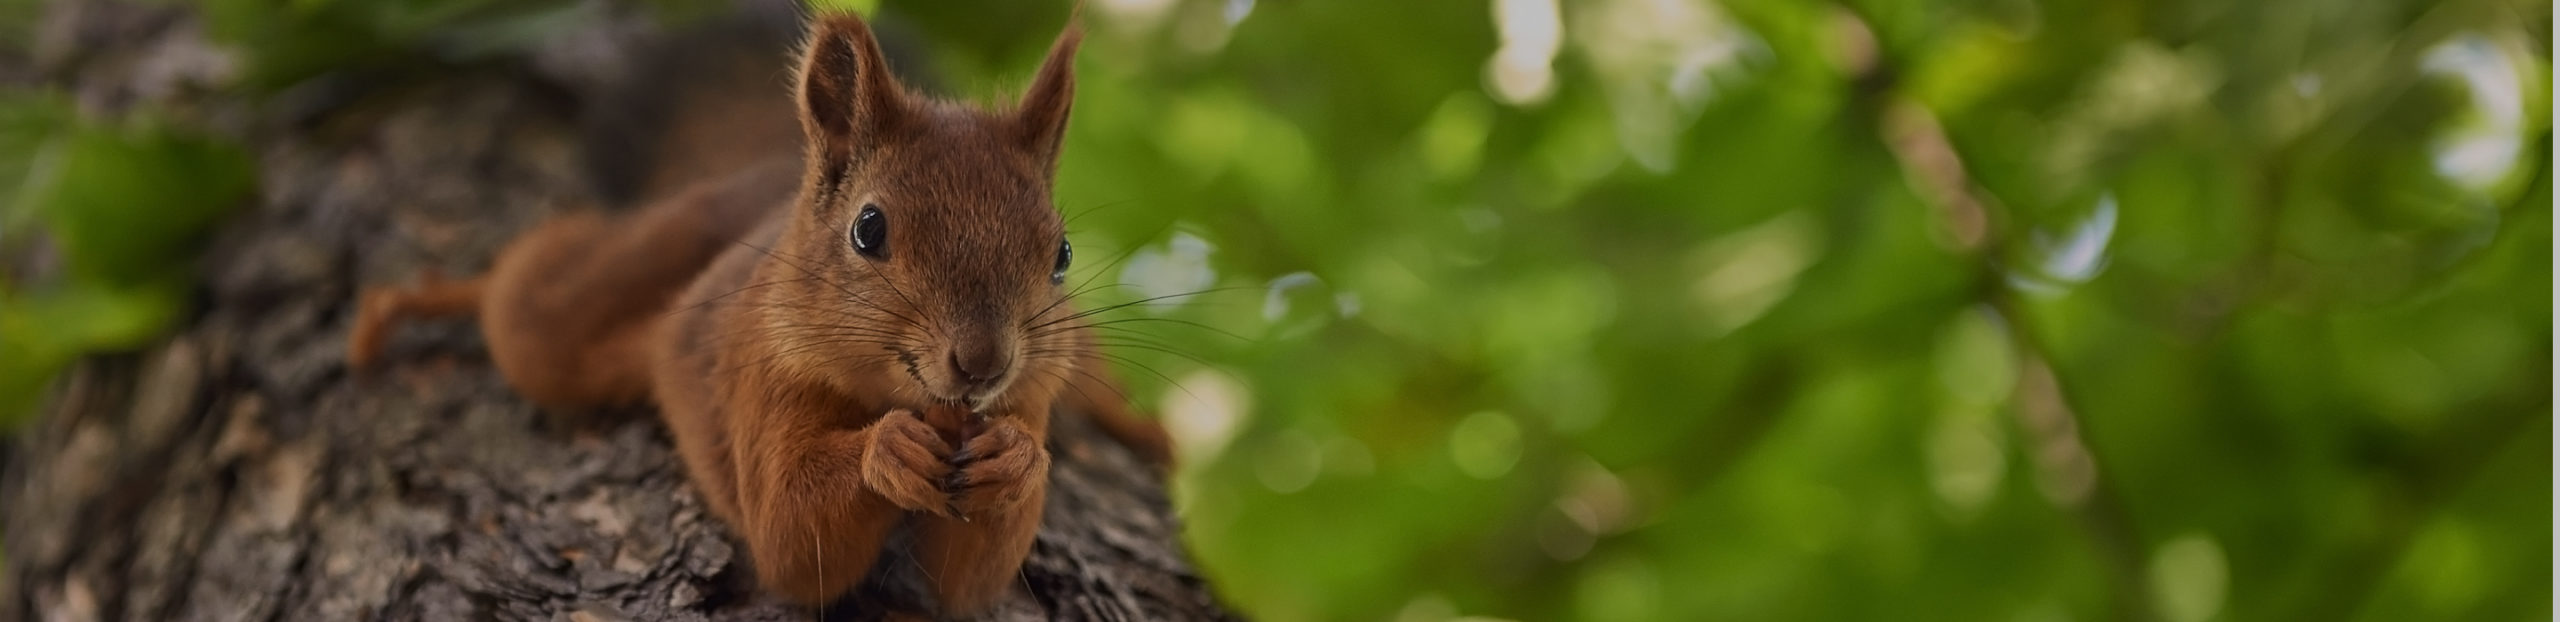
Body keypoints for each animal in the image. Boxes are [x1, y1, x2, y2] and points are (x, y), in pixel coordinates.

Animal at [345, 10, 1172, 616]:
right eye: (869, 229)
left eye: (1061, 252)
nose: (983, 362)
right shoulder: (760, 373)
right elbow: (789, 533)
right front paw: (887, 450)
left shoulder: (1029, 397)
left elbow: (964, 582)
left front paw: (1019, 460)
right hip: (587, 303)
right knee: (529, 288)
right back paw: (423, 297)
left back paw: (1146, 428)